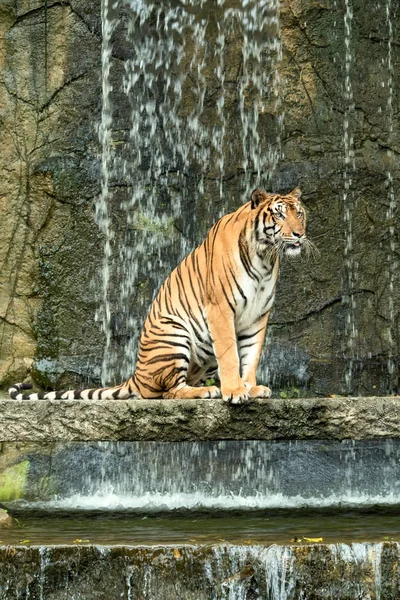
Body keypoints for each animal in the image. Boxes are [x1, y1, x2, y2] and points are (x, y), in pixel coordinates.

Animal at [10, 188, 310, 404]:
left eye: (300, 214)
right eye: (279, 215)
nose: (299, 234)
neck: (265, 256)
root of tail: (135, 375)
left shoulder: (258, 315)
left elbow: (251, 355)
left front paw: (251, 387)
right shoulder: (220, 309)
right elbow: (230, 354)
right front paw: (235, 391)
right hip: (175, 334)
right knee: (165, 392)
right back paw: (206, 392)